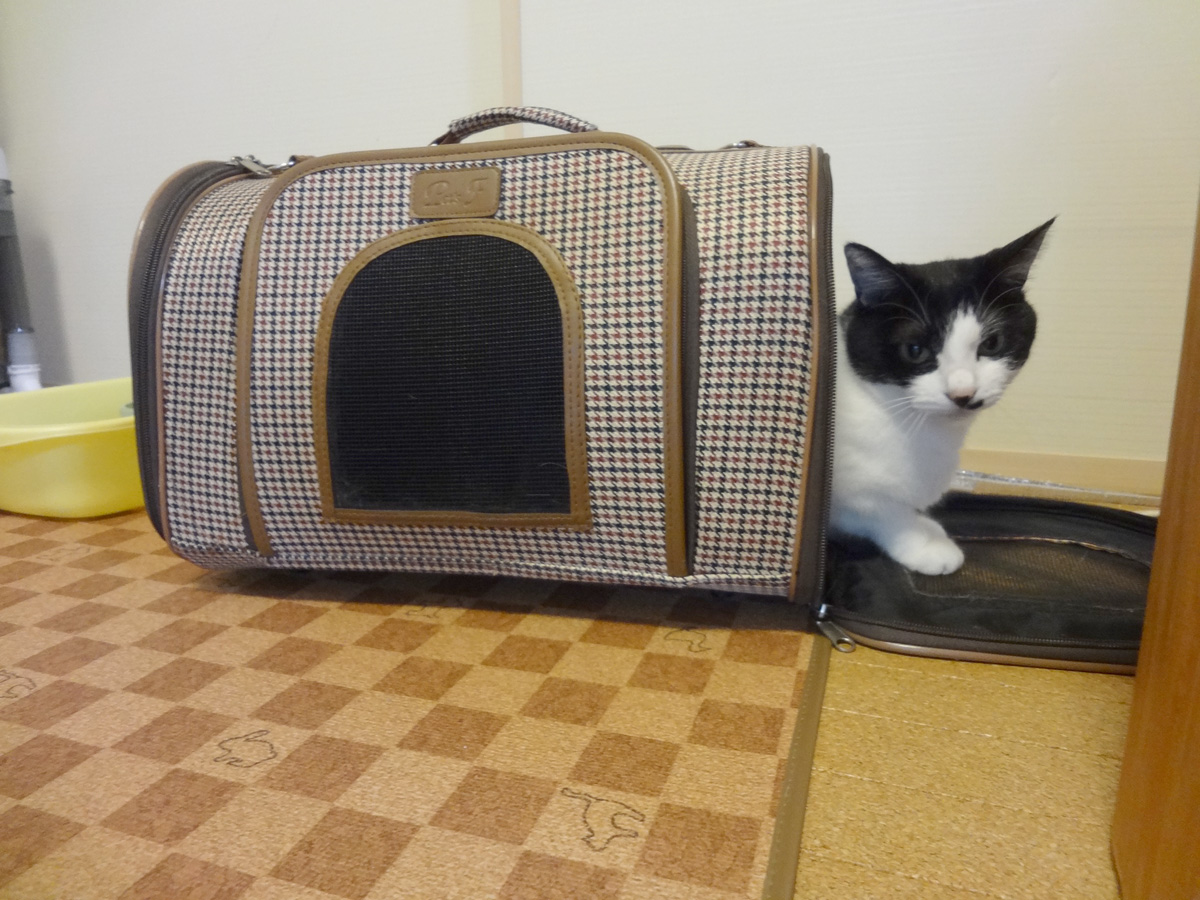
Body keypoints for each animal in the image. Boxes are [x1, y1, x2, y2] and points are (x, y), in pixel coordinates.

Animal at [830, 219, 1054, 575]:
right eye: (915, 350)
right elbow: (881, 511)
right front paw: (922, 542)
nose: (963, 393)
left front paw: (927, 527)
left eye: (992, 344)